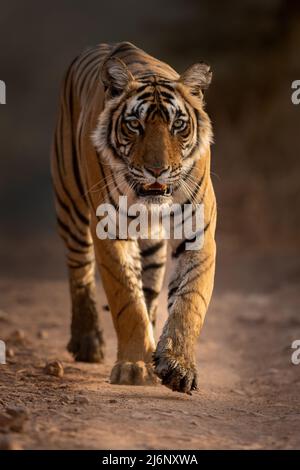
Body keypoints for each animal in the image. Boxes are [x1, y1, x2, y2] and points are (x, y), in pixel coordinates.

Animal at [51, 40, 216, 394]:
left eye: (177, 125)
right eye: (134, 125)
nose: (157, 170)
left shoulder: (198, 233)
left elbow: (189, 301)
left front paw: (178, 366)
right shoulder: (109, 230)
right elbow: (127, 299)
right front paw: (134, 367)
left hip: (151, 243)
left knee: (150, 289)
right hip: (69, 204)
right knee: (79, 270)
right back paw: (88, 341)